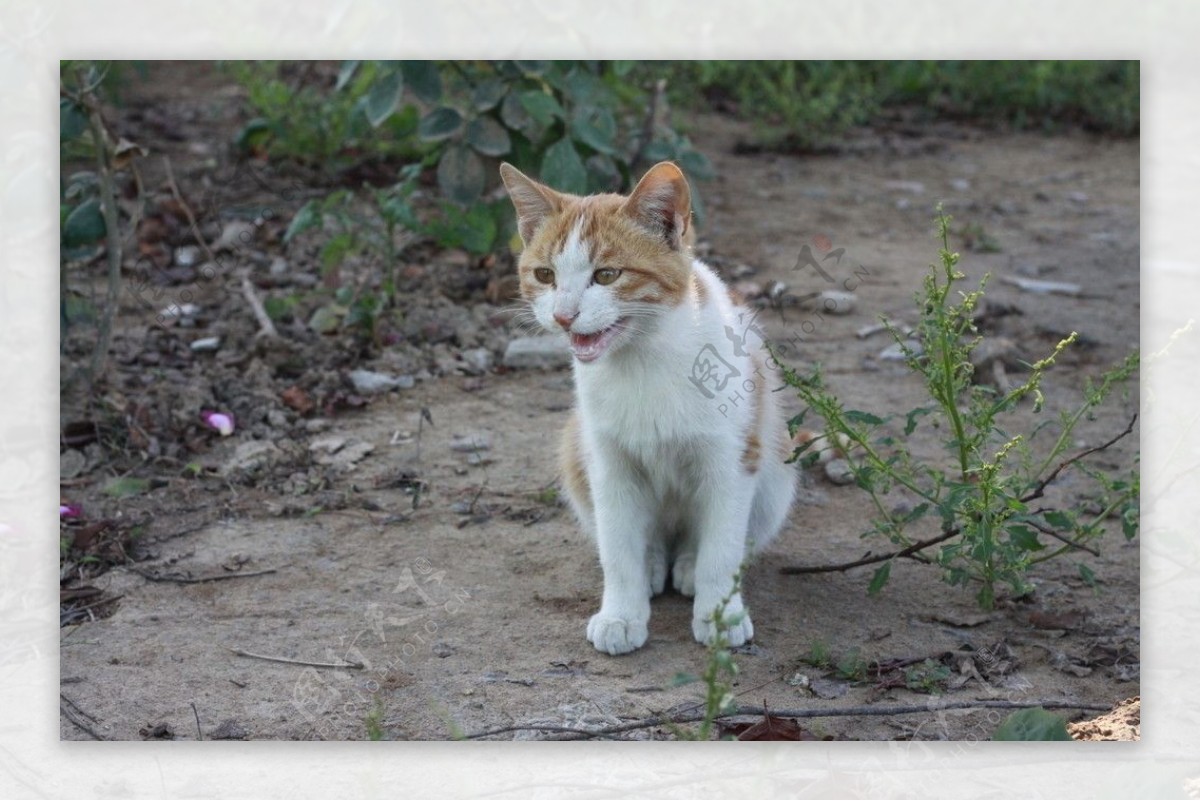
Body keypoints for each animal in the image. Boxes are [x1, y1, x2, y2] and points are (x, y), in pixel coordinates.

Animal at [496, 159, 796, 652]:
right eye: (545, 276)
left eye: (606, 276)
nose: (562, 315)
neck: (642, 360)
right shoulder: (606, 463)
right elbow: (618, 547)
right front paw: (621, 613)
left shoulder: (731, 460)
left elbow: (723, 546)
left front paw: (719, 614)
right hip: (576, 449)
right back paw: (655, 562)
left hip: (776, 465)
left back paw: (688, 563)